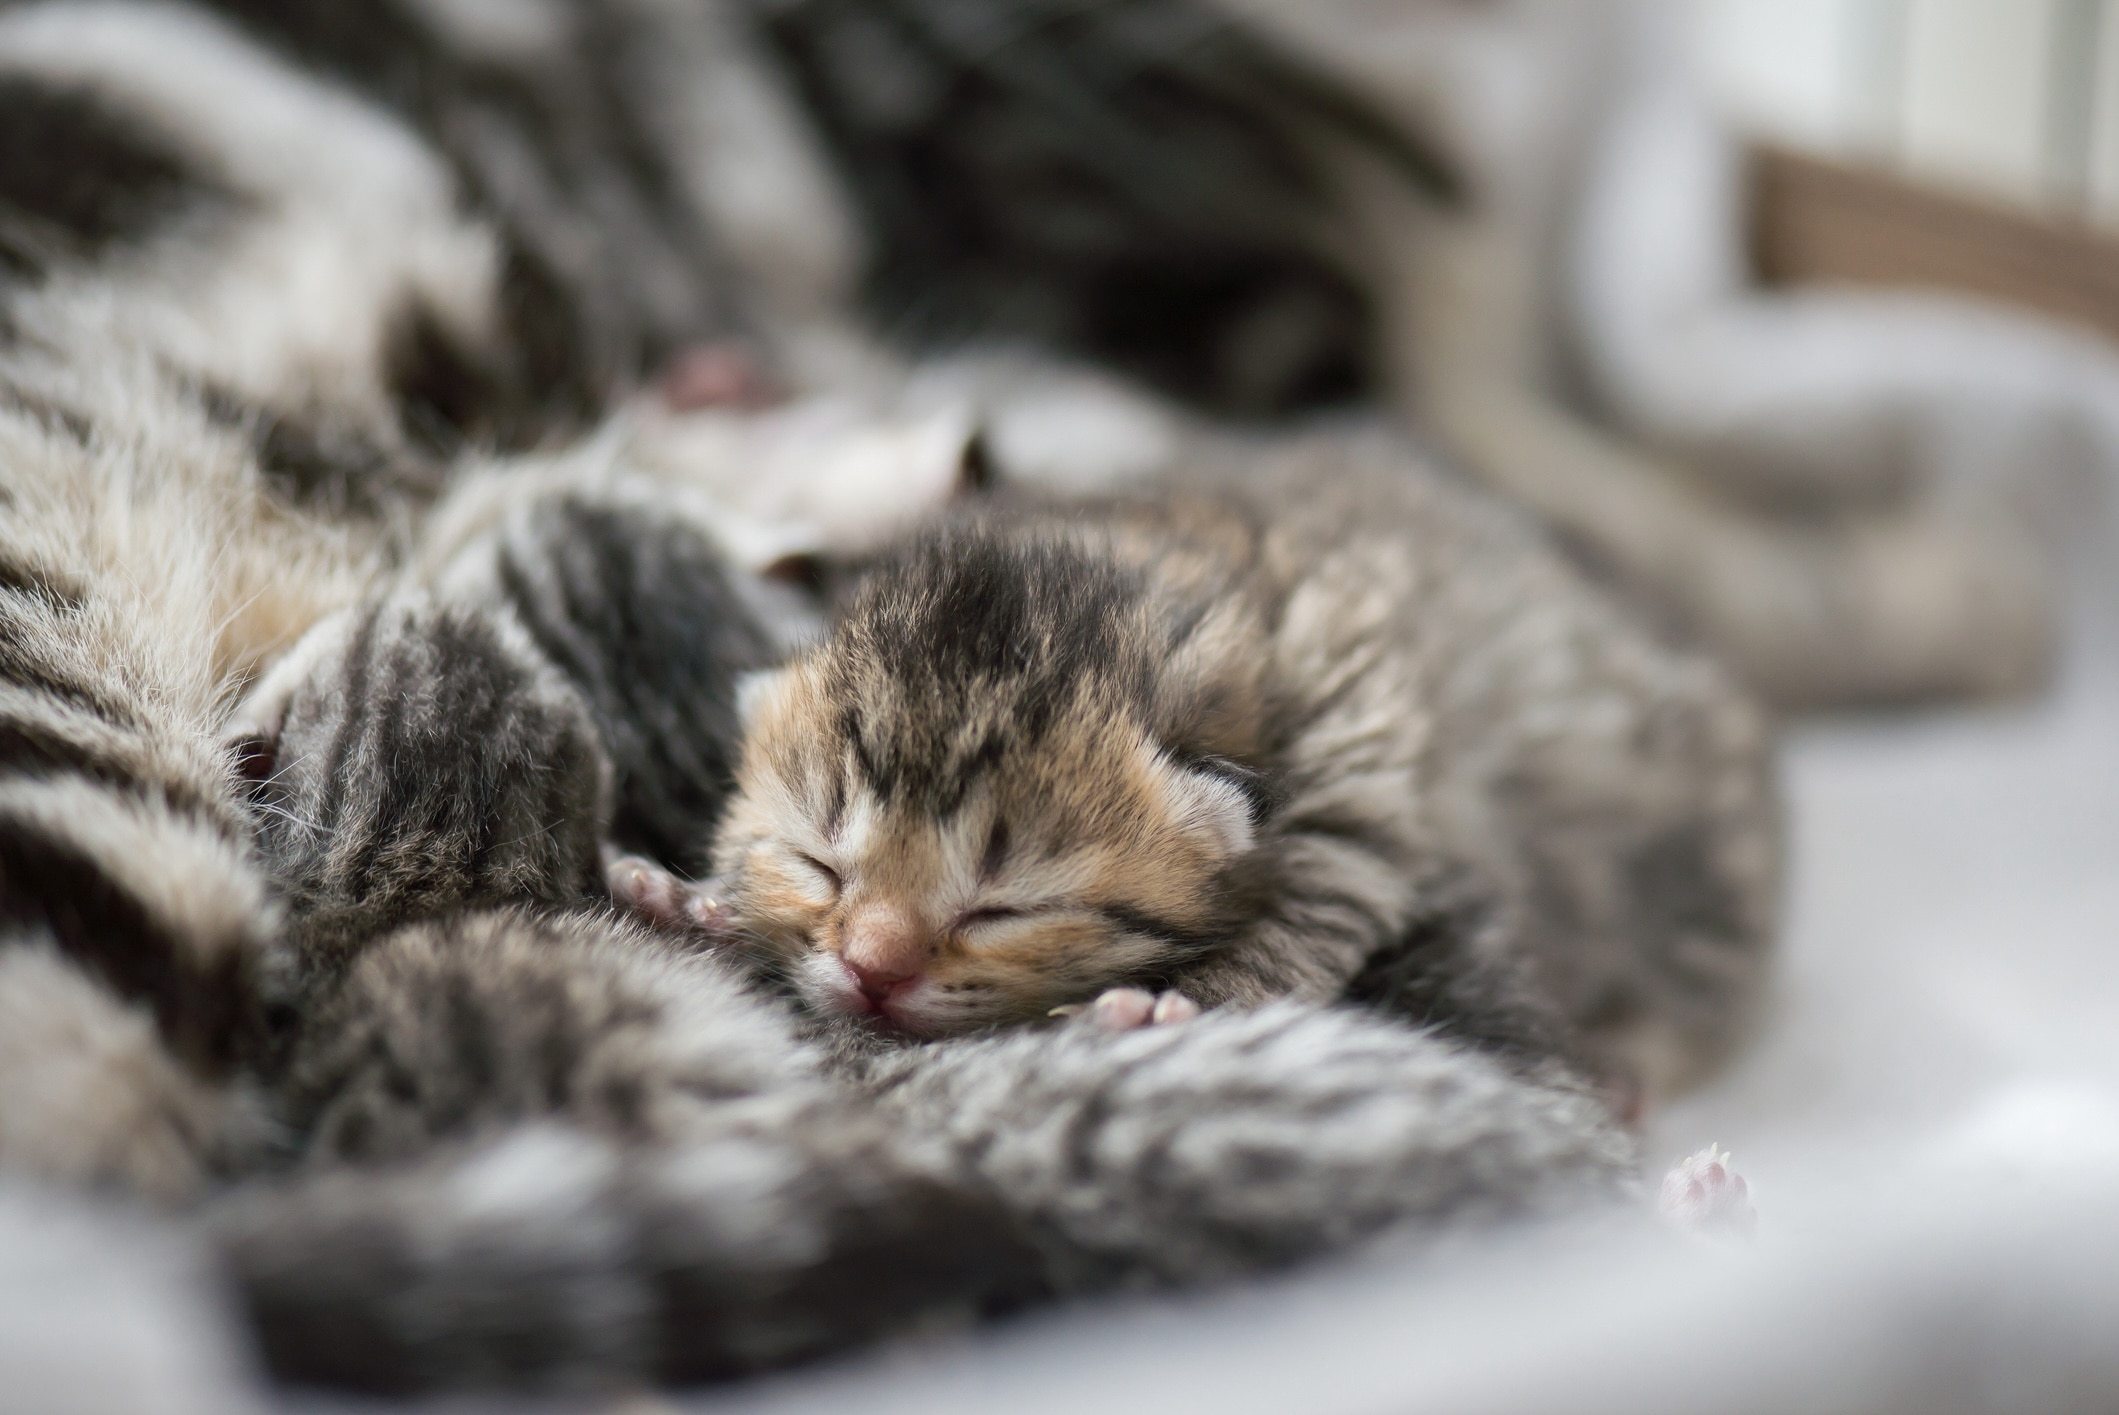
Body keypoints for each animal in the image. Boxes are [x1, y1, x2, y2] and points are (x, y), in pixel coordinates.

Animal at [631, 436, 1788, 1101]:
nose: (871, 971)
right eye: (818, 864)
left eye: (1001, 908)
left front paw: (1181, 1001)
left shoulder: (1358, 725)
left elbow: (1326, 883)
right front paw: (698, 900)